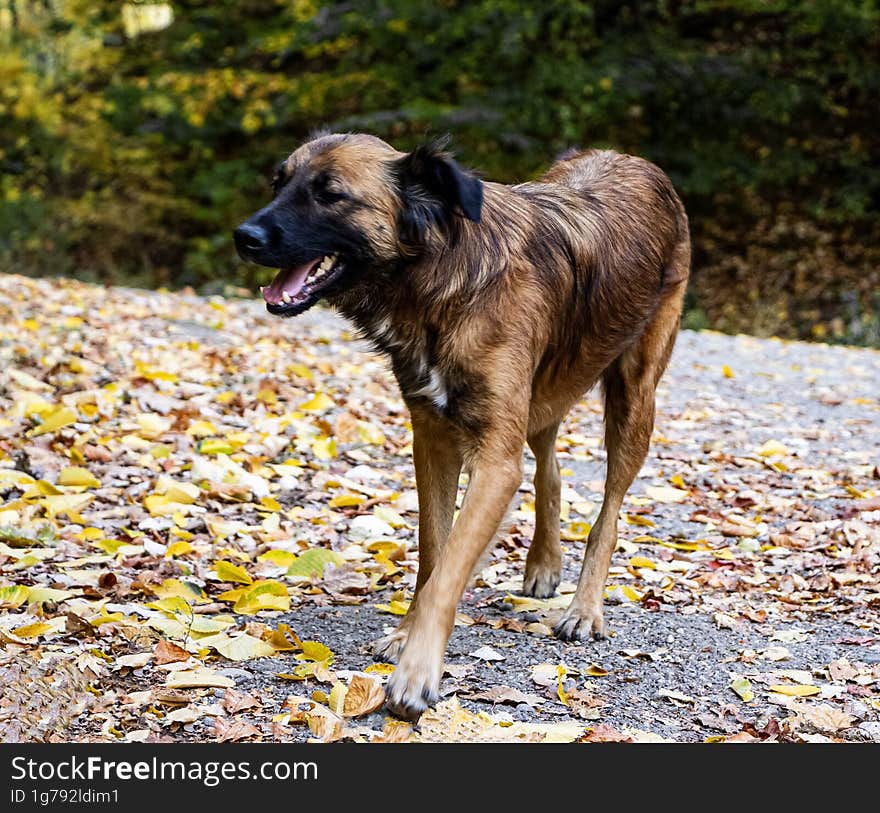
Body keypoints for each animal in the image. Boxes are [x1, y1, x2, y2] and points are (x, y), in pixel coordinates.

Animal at [237, 132, 692, 716]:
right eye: (279, 183)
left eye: (330, 194)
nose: (243, 237)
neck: (441, 279)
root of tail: (632, 160)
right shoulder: (432, 438)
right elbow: (434, 553)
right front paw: (406, 635)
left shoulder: (494, 460)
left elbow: (450, 566)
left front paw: (416, 670)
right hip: (545, 392)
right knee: (549, 467)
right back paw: (543, 564)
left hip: (634, 397)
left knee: (607, 514)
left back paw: (585, 607)